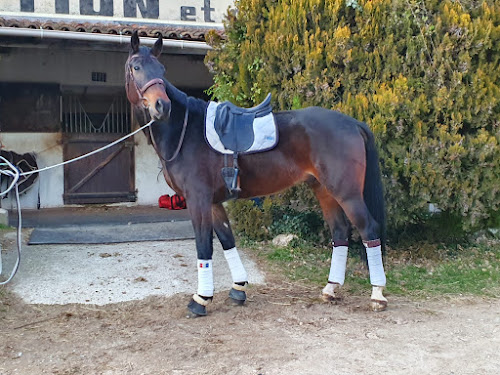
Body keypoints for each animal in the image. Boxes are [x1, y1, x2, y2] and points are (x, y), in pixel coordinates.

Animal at [126, 32, 390, 316]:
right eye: (136, 67)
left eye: (162, 70)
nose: (161, 106)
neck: (186, 131)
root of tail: (353, 123)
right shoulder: (213, 202)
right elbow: (227, 239)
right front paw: (238, 289)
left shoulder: (198, 199)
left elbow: (204, 245)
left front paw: (200, 299)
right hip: (324, 190)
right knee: (340, 232)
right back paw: (330, 289)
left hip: (347, 193)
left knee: (368, 229)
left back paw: (377, 294)